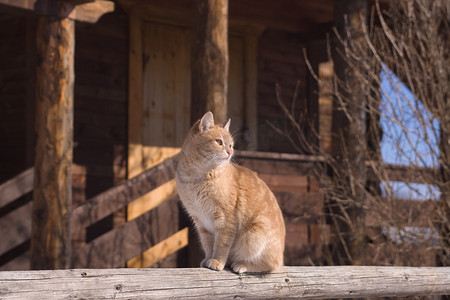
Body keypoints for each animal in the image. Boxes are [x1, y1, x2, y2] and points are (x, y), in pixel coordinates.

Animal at [176, 111, 284, 274]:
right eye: (219, 142)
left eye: (231, 145)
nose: (230, 151)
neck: (197, 178)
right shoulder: (201, 222)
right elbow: (208, 244)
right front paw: (208, 259)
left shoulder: (225, 220)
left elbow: (221, 245)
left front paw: (217, 262)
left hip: (254, 234)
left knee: (271, 265)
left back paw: (241, 264)